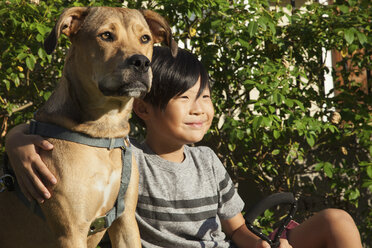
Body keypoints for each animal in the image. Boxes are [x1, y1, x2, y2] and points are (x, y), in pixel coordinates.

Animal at [0, 6, 177, 248]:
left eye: (145, 38)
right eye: (106, 35)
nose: (141, 62)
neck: (104, 134)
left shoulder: (125, 220)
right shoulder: (71, 231)